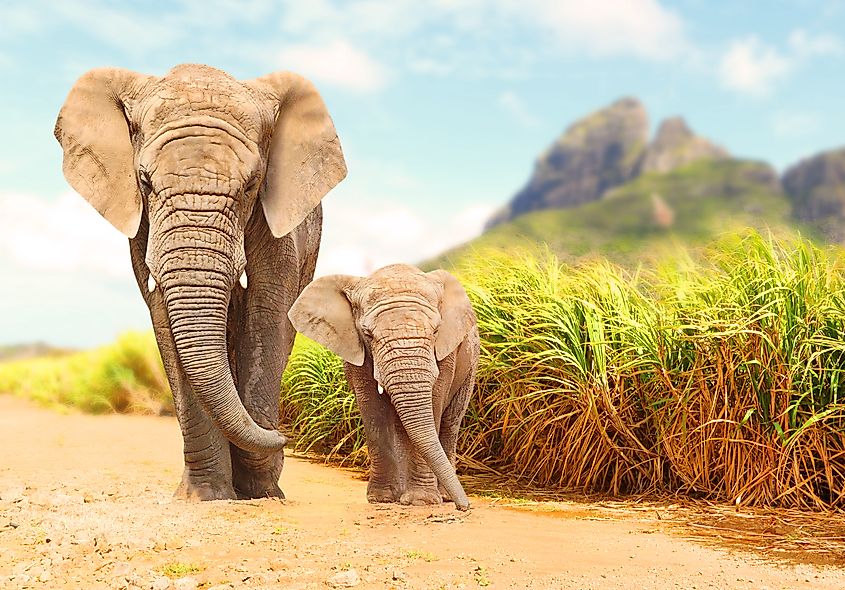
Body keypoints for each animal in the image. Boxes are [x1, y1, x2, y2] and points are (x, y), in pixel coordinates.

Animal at [53, 64, 347, 500]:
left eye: (251, 184)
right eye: (144, 182)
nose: (286, 438)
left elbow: (267, 311)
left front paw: (260, 490)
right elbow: (164, 317)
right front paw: (206, 497)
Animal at [288, 264, 479, 511]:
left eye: (436, 330)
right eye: (368, 334)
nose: (465, 507)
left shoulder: (446, 354)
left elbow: (435, 403)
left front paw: (421, 501)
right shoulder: (356, 350)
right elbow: (373, 409)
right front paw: (382, 499)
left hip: (471, 366)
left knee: (450, 422)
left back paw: (442, 496)